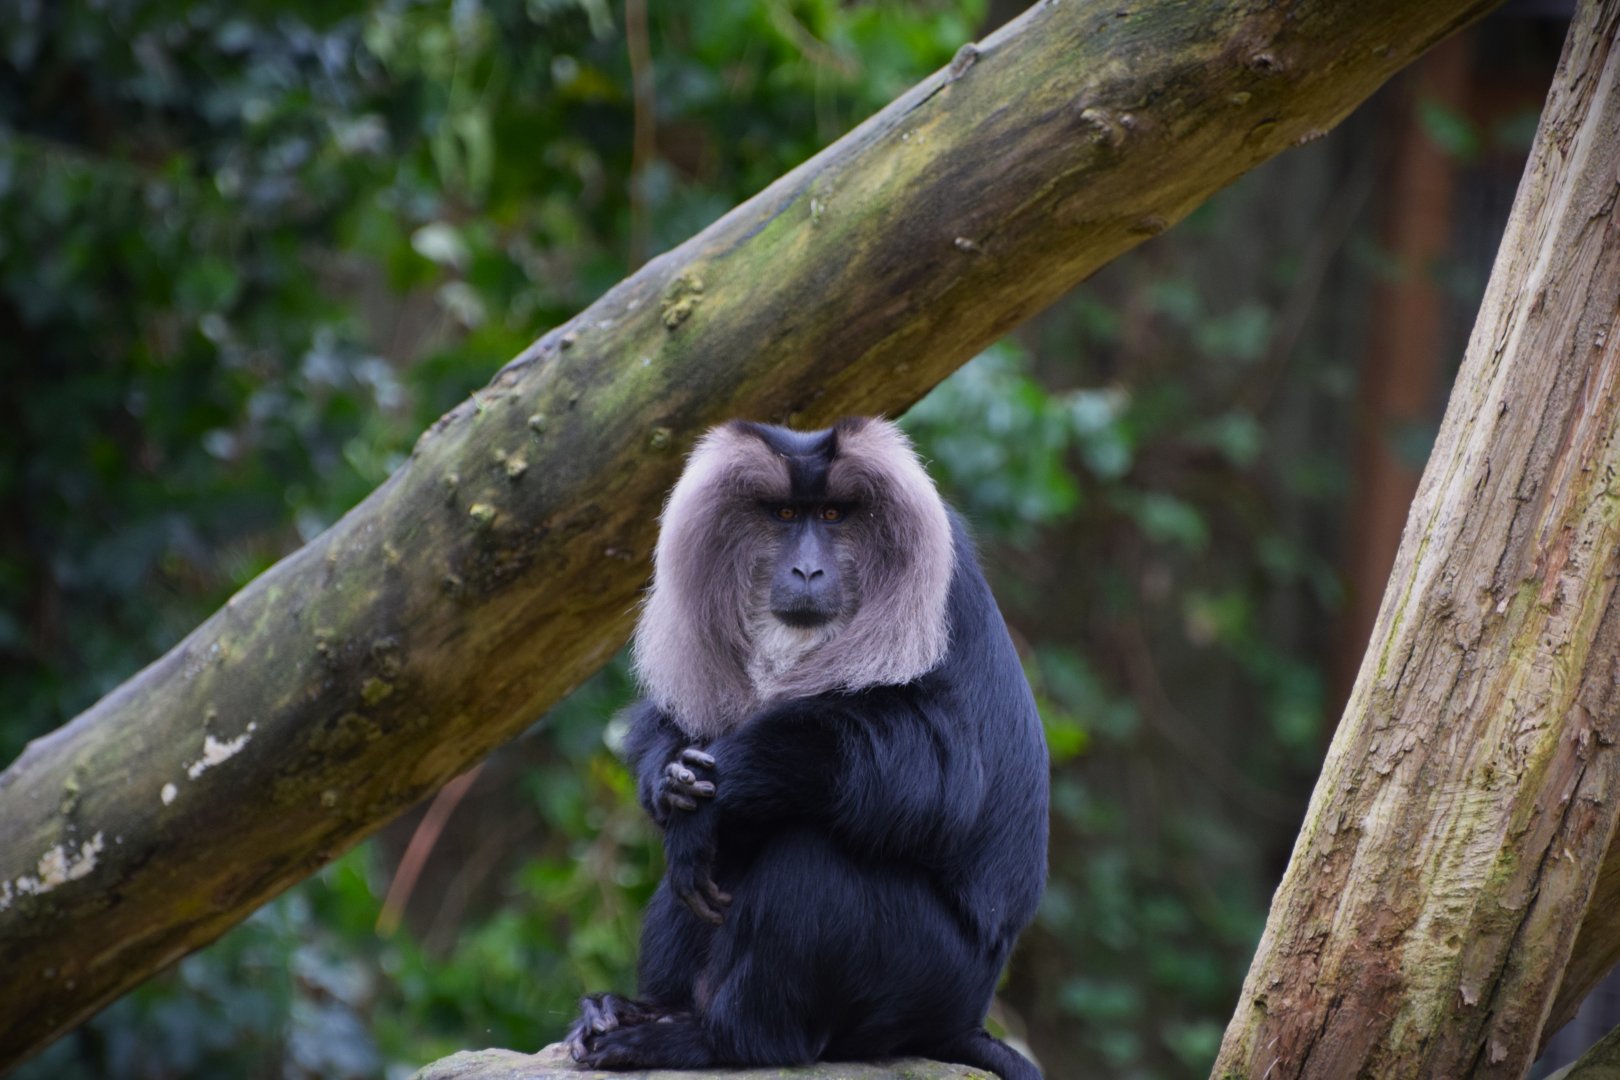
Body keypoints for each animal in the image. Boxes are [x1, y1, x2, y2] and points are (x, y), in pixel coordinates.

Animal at [565, 417, 1048, 1080]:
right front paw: (669, 783)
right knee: (701, 867)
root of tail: (964, 1020)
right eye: (787, 514)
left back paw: (714, 1041)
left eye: (836, 515)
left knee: (811, 859)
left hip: (927, 977)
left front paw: (722, 783)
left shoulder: (946, 608)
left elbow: (937, 774)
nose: (807, 572)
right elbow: (667, 727)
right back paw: (637, 1009)